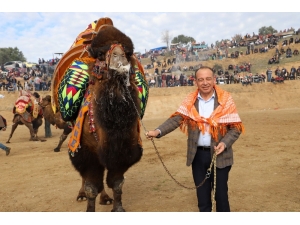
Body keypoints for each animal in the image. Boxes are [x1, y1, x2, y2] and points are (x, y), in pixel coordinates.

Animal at [52, 17, 149, 211]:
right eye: (102, 54)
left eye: (126, 52)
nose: (119, 56)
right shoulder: (87, 152)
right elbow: (91, 186)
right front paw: (89, 205)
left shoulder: (123, 152)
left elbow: (117, 183)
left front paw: (118, 207)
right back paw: (81, 194)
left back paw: (105, 198)